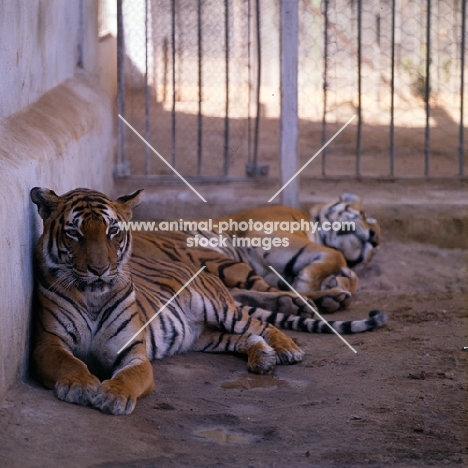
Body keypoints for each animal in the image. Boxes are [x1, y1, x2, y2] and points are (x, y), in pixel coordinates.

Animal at [30, 186, 388, 414]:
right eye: (366, 215)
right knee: (257, 298)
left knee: (250, 306)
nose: (375, 239)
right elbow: (331, 256)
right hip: (217, 261)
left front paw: (339, 279)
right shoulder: (280, 239)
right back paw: (316, 302)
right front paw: (324, 280)